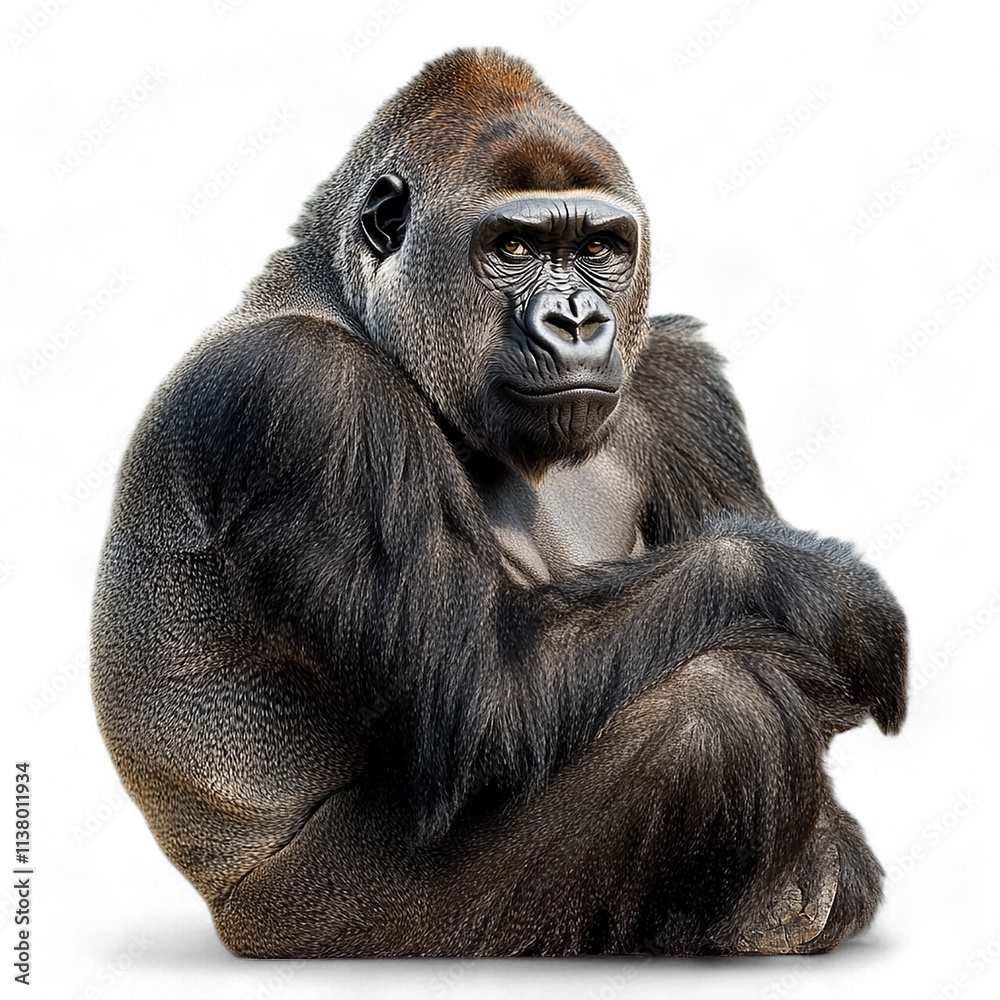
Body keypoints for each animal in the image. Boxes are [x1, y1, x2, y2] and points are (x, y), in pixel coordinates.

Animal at [90, 47, 907, 958]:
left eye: (598, 247)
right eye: (513, 246)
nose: (578, 319)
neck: (342, 292)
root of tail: (232, 920)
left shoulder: (675, 373)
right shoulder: (306, 394)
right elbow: (483, 694)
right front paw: (830, 594)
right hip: (335, 926)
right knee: (717, 707)